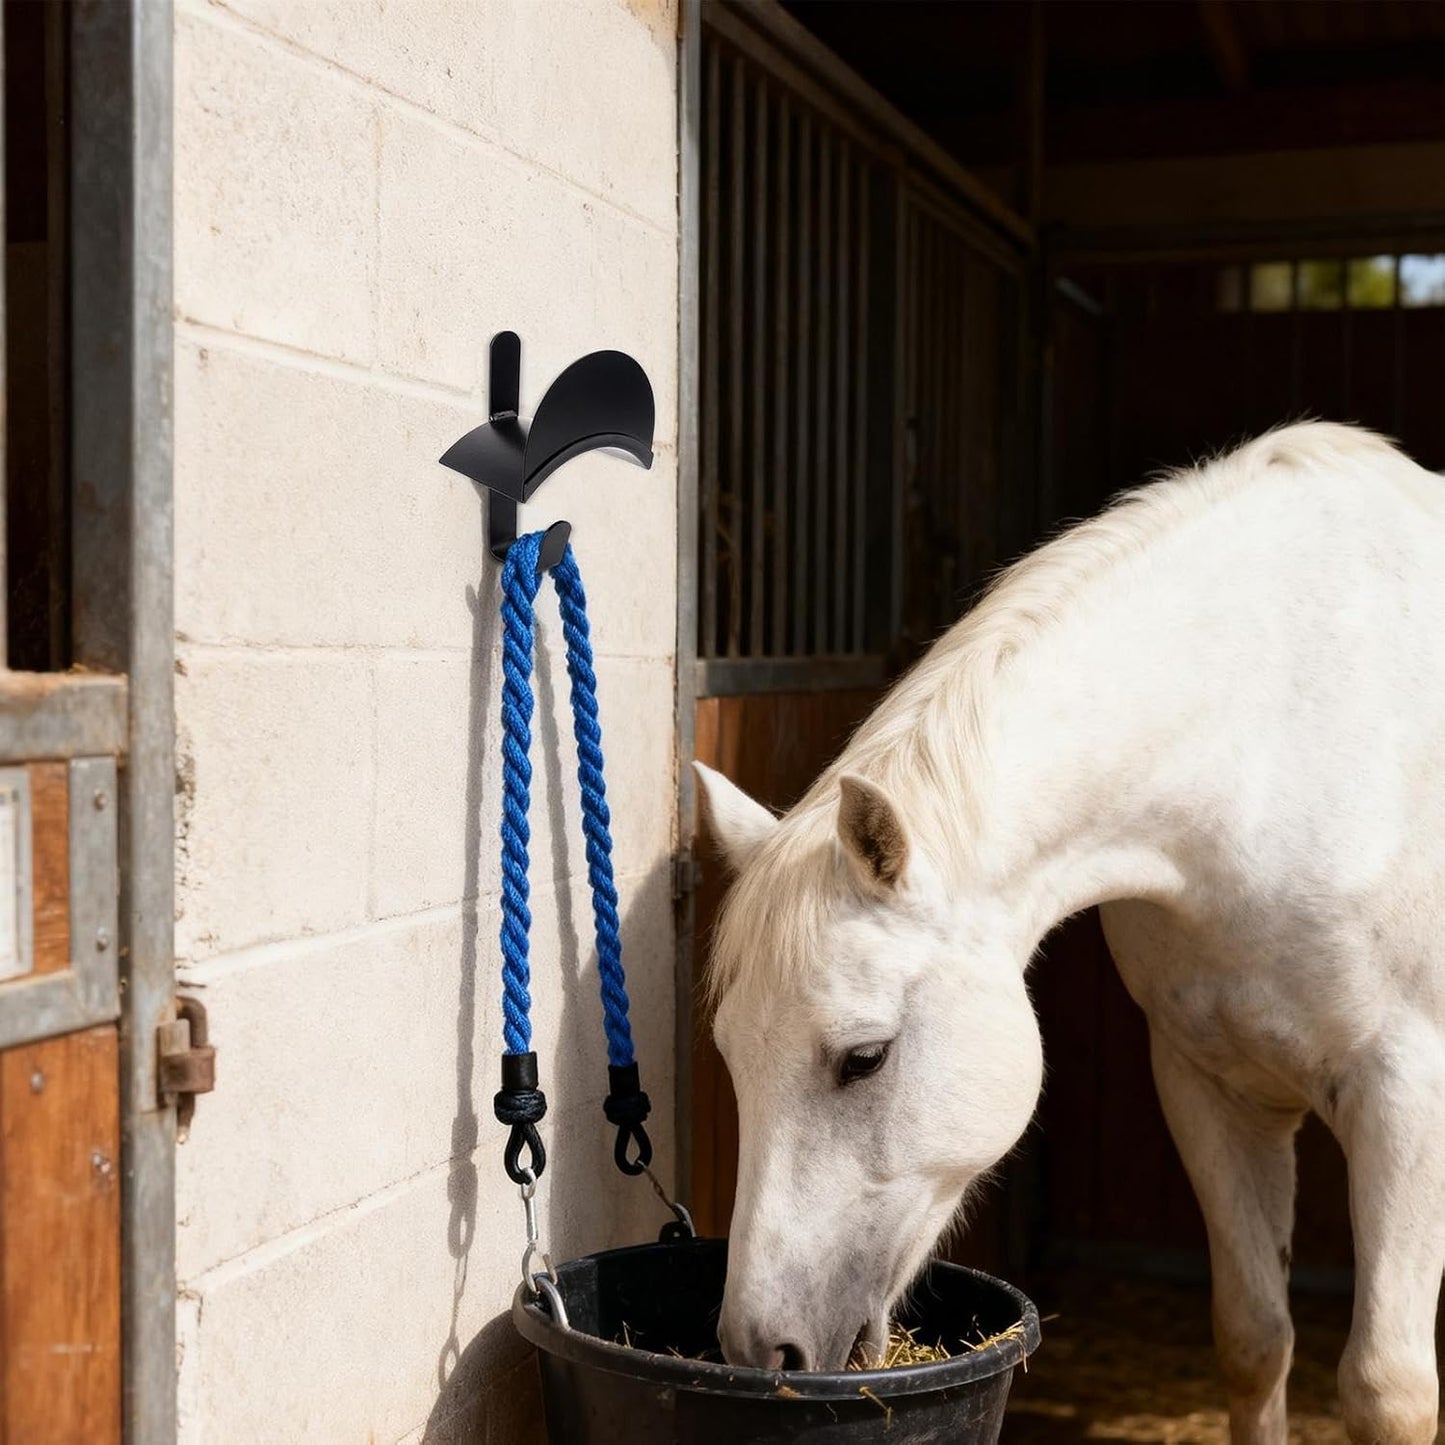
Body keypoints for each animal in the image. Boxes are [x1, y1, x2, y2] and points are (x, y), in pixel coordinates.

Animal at [695, 422, 1445, 1444]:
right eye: (732, 1056)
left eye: (864, 1057)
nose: (759, 1348)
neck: (1284, 739)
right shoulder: (1212, 1085)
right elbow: (1253, 1339)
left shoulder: (1407, 1097)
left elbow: (1386, 1389)